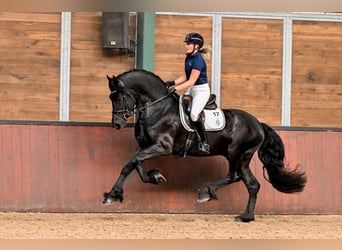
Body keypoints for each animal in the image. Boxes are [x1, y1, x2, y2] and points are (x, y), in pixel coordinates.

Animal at [102, 69, 308, 223]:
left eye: (118, 97)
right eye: (111, 98)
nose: (117, 124)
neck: (158, 108)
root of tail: (258, 124)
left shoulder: (162, 147)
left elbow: (132, 162)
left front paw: (114, 194)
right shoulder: (144, 146)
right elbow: (132, 164)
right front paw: (152, 178)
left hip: (236, 153)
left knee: (233, 176)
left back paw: (206, 192)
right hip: (243, 157)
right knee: (252, 184)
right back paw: (246, 217)